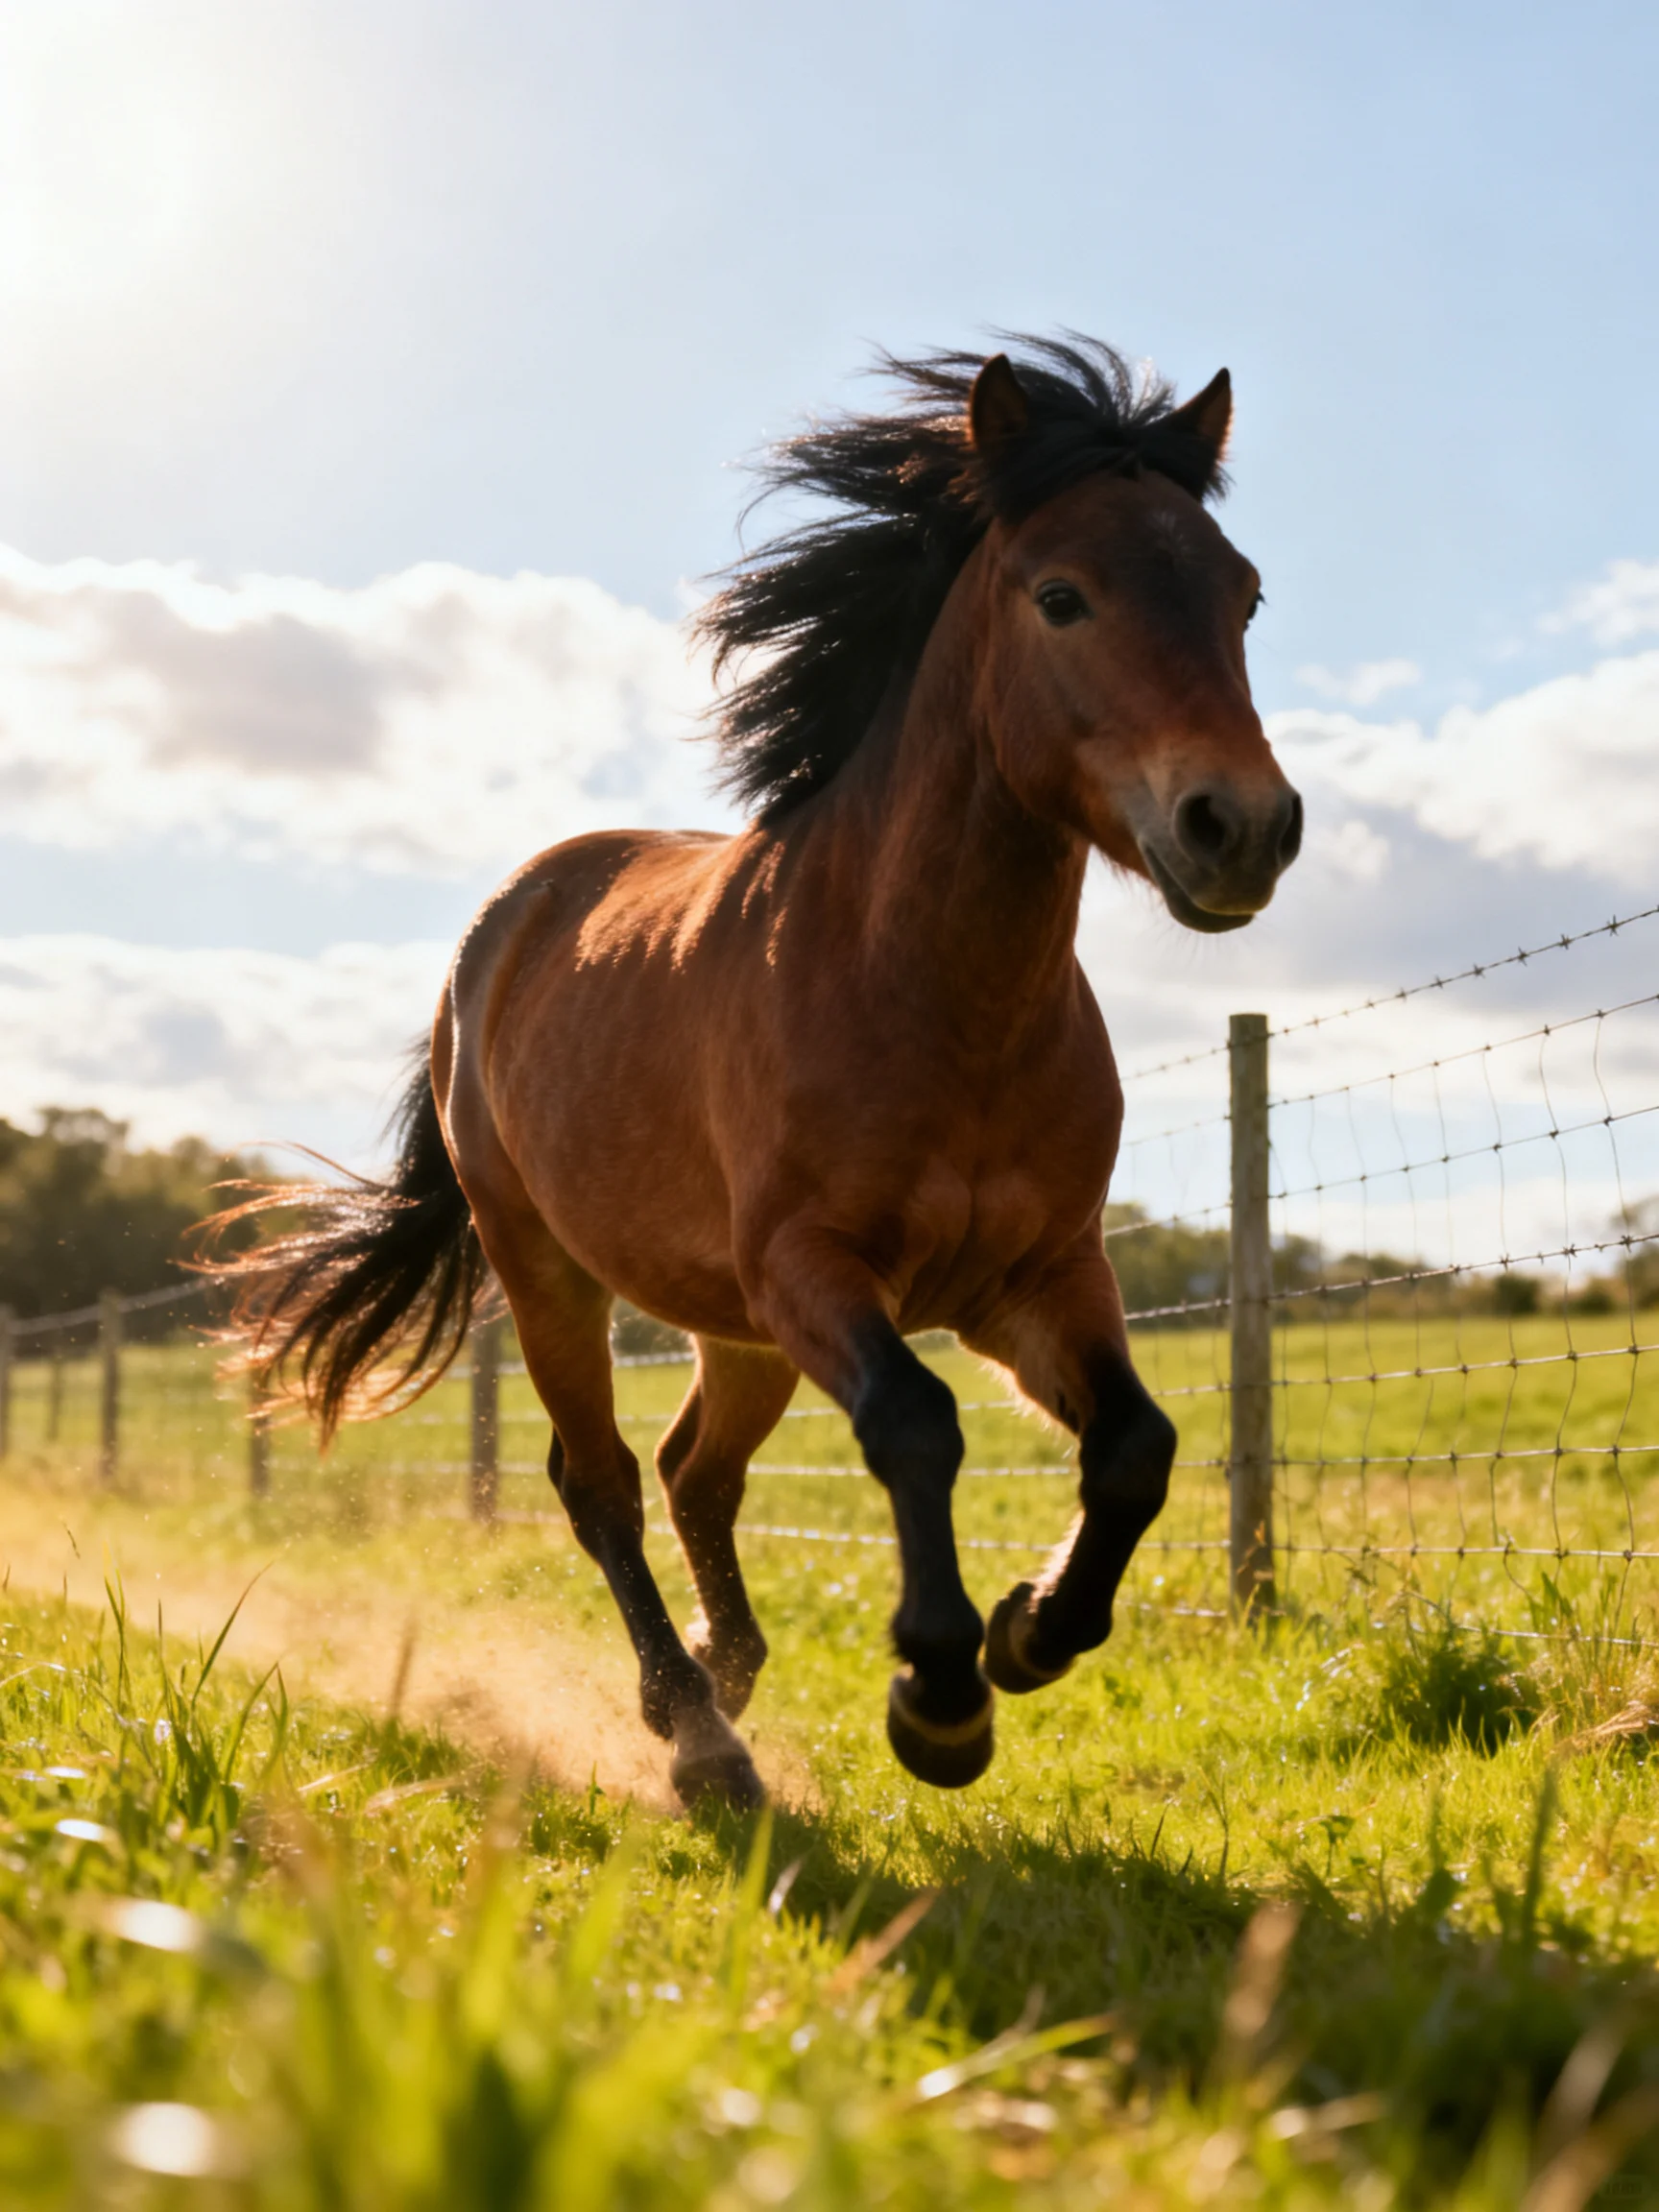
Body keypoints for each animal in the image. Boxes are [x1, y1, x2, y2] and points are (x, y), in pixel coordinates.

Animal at [214, 336, 1302, 1808]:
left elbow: (1136, 1448)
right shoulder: (813, 1267)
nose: (1241, 828)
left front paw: (1029, 1631)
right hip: (552, 1272)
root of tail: (498, 932)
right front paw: (940, 1696)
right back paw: (699, 1733)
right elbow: (916, 1424)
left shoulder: (1040, 1274)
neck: (931, 996)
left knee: (694, 1474)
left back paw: (721, 1676)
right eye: (1063, 596)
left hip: (730, 1326)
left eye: (1242, 594)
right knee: (604, 1482)